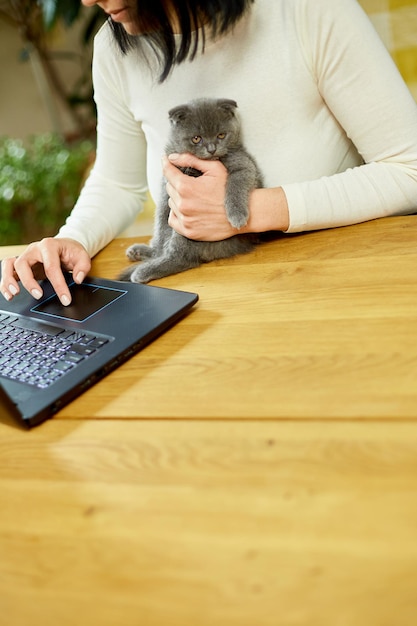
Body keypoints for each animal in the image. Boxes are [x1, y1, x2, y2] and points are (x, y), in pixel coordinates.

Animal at [118, 96, 264, 282]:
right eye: (196, 139)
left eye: (221, 135)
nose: (211, 149)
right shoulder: (166, 187)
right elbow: (161, 225)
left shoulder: (244, 165)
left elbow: (236, 185)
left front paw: (237, 216)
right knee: (163, 236)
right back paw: (142, 254)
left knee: (183, 258)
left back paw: (143, 270)